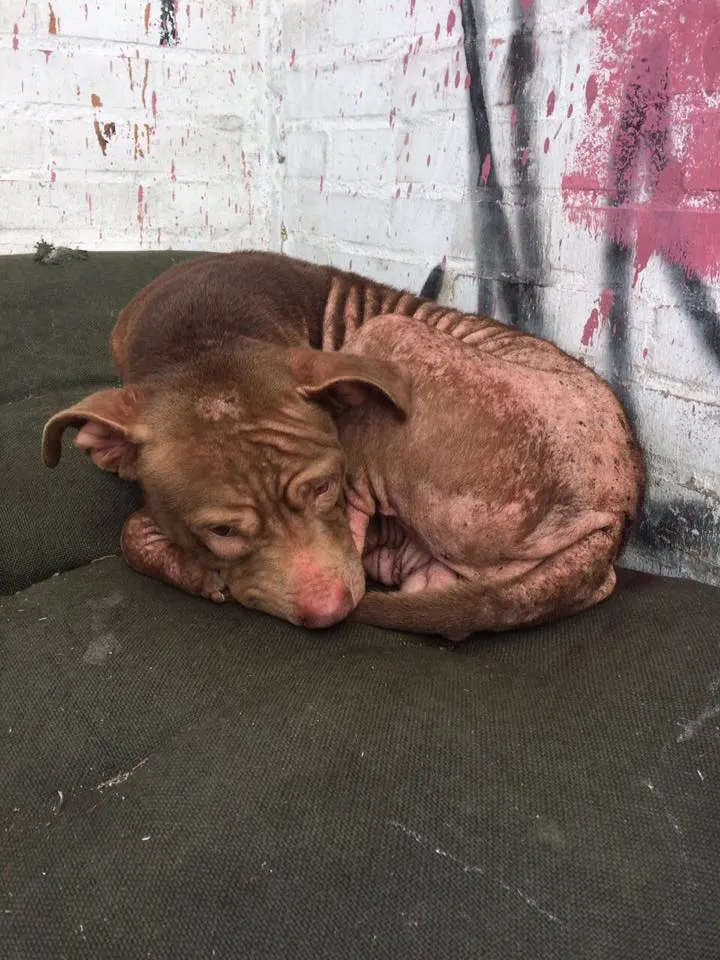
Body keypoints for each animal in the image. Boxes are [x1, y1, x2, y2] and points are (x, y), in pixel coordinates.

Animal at [42, 249, 644, 636]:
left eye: (323, 488)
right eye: (222, 531)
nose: (328, 610)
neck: (203, 341)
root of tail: (615, 510)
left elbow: (129, 530)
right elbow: (132, 530)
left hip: (387, 335)